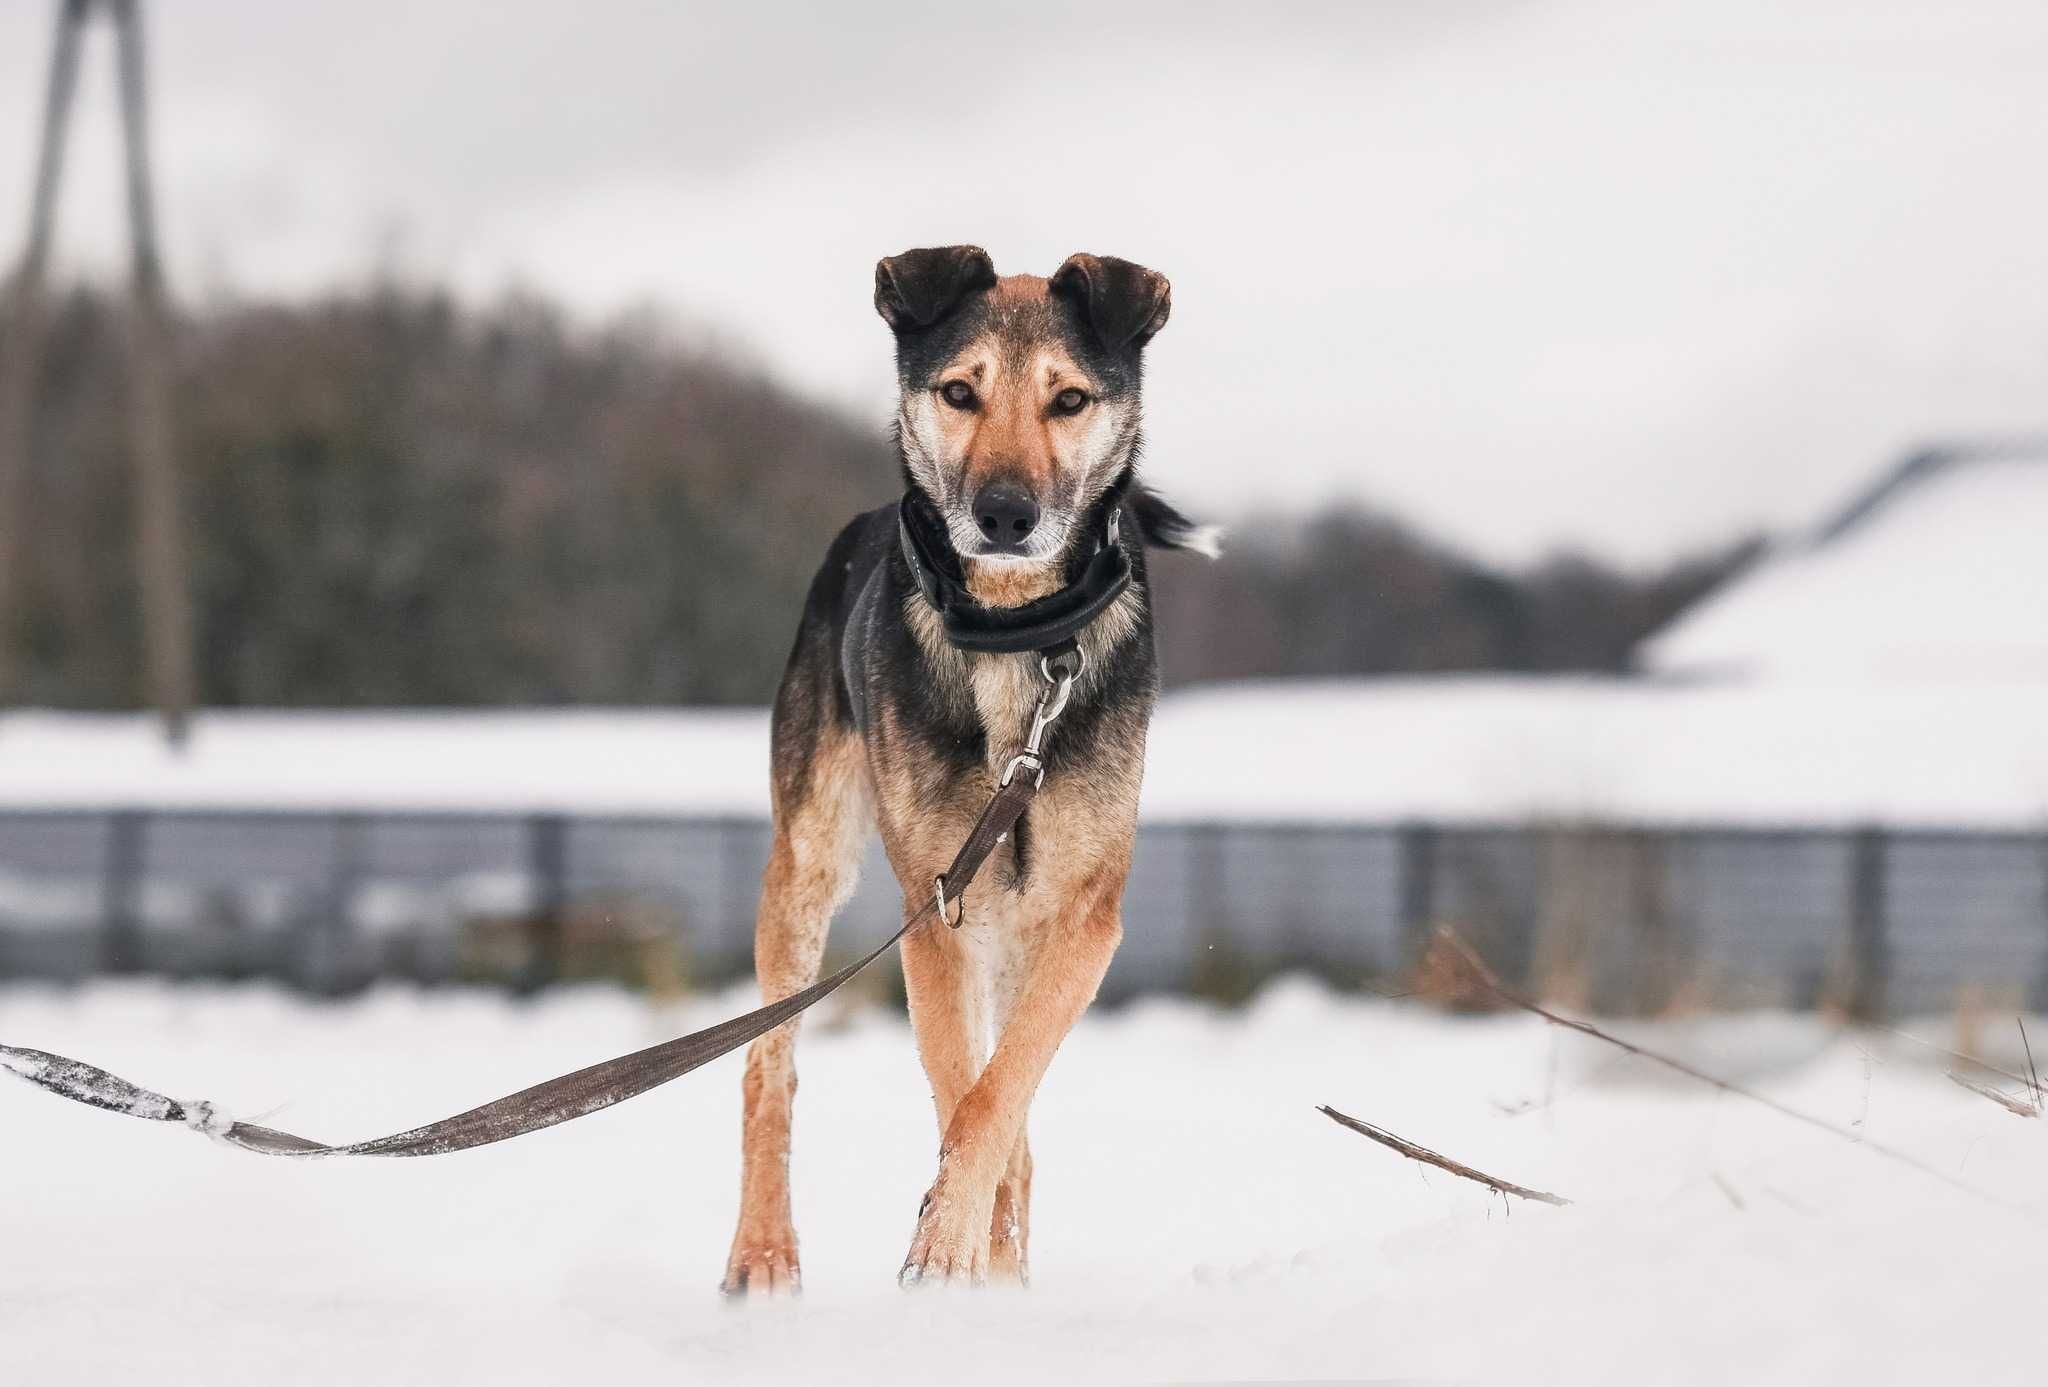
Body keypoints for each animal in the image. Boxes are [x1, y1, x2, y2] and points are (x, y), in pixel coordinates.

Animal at [724, 243, 1212, 1294]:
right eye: (959, 391)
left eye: (1068, 399)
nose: (1004, 515)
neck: (1014, 633)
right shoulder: (936, 906)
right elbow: (963, 1094)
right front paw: (954, 1249)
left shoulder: (1082, 917)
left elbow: (1000, 1094)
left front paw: (964, 1250)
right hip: (808, 865)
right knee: (769, 1066)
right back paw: (763, 1249)